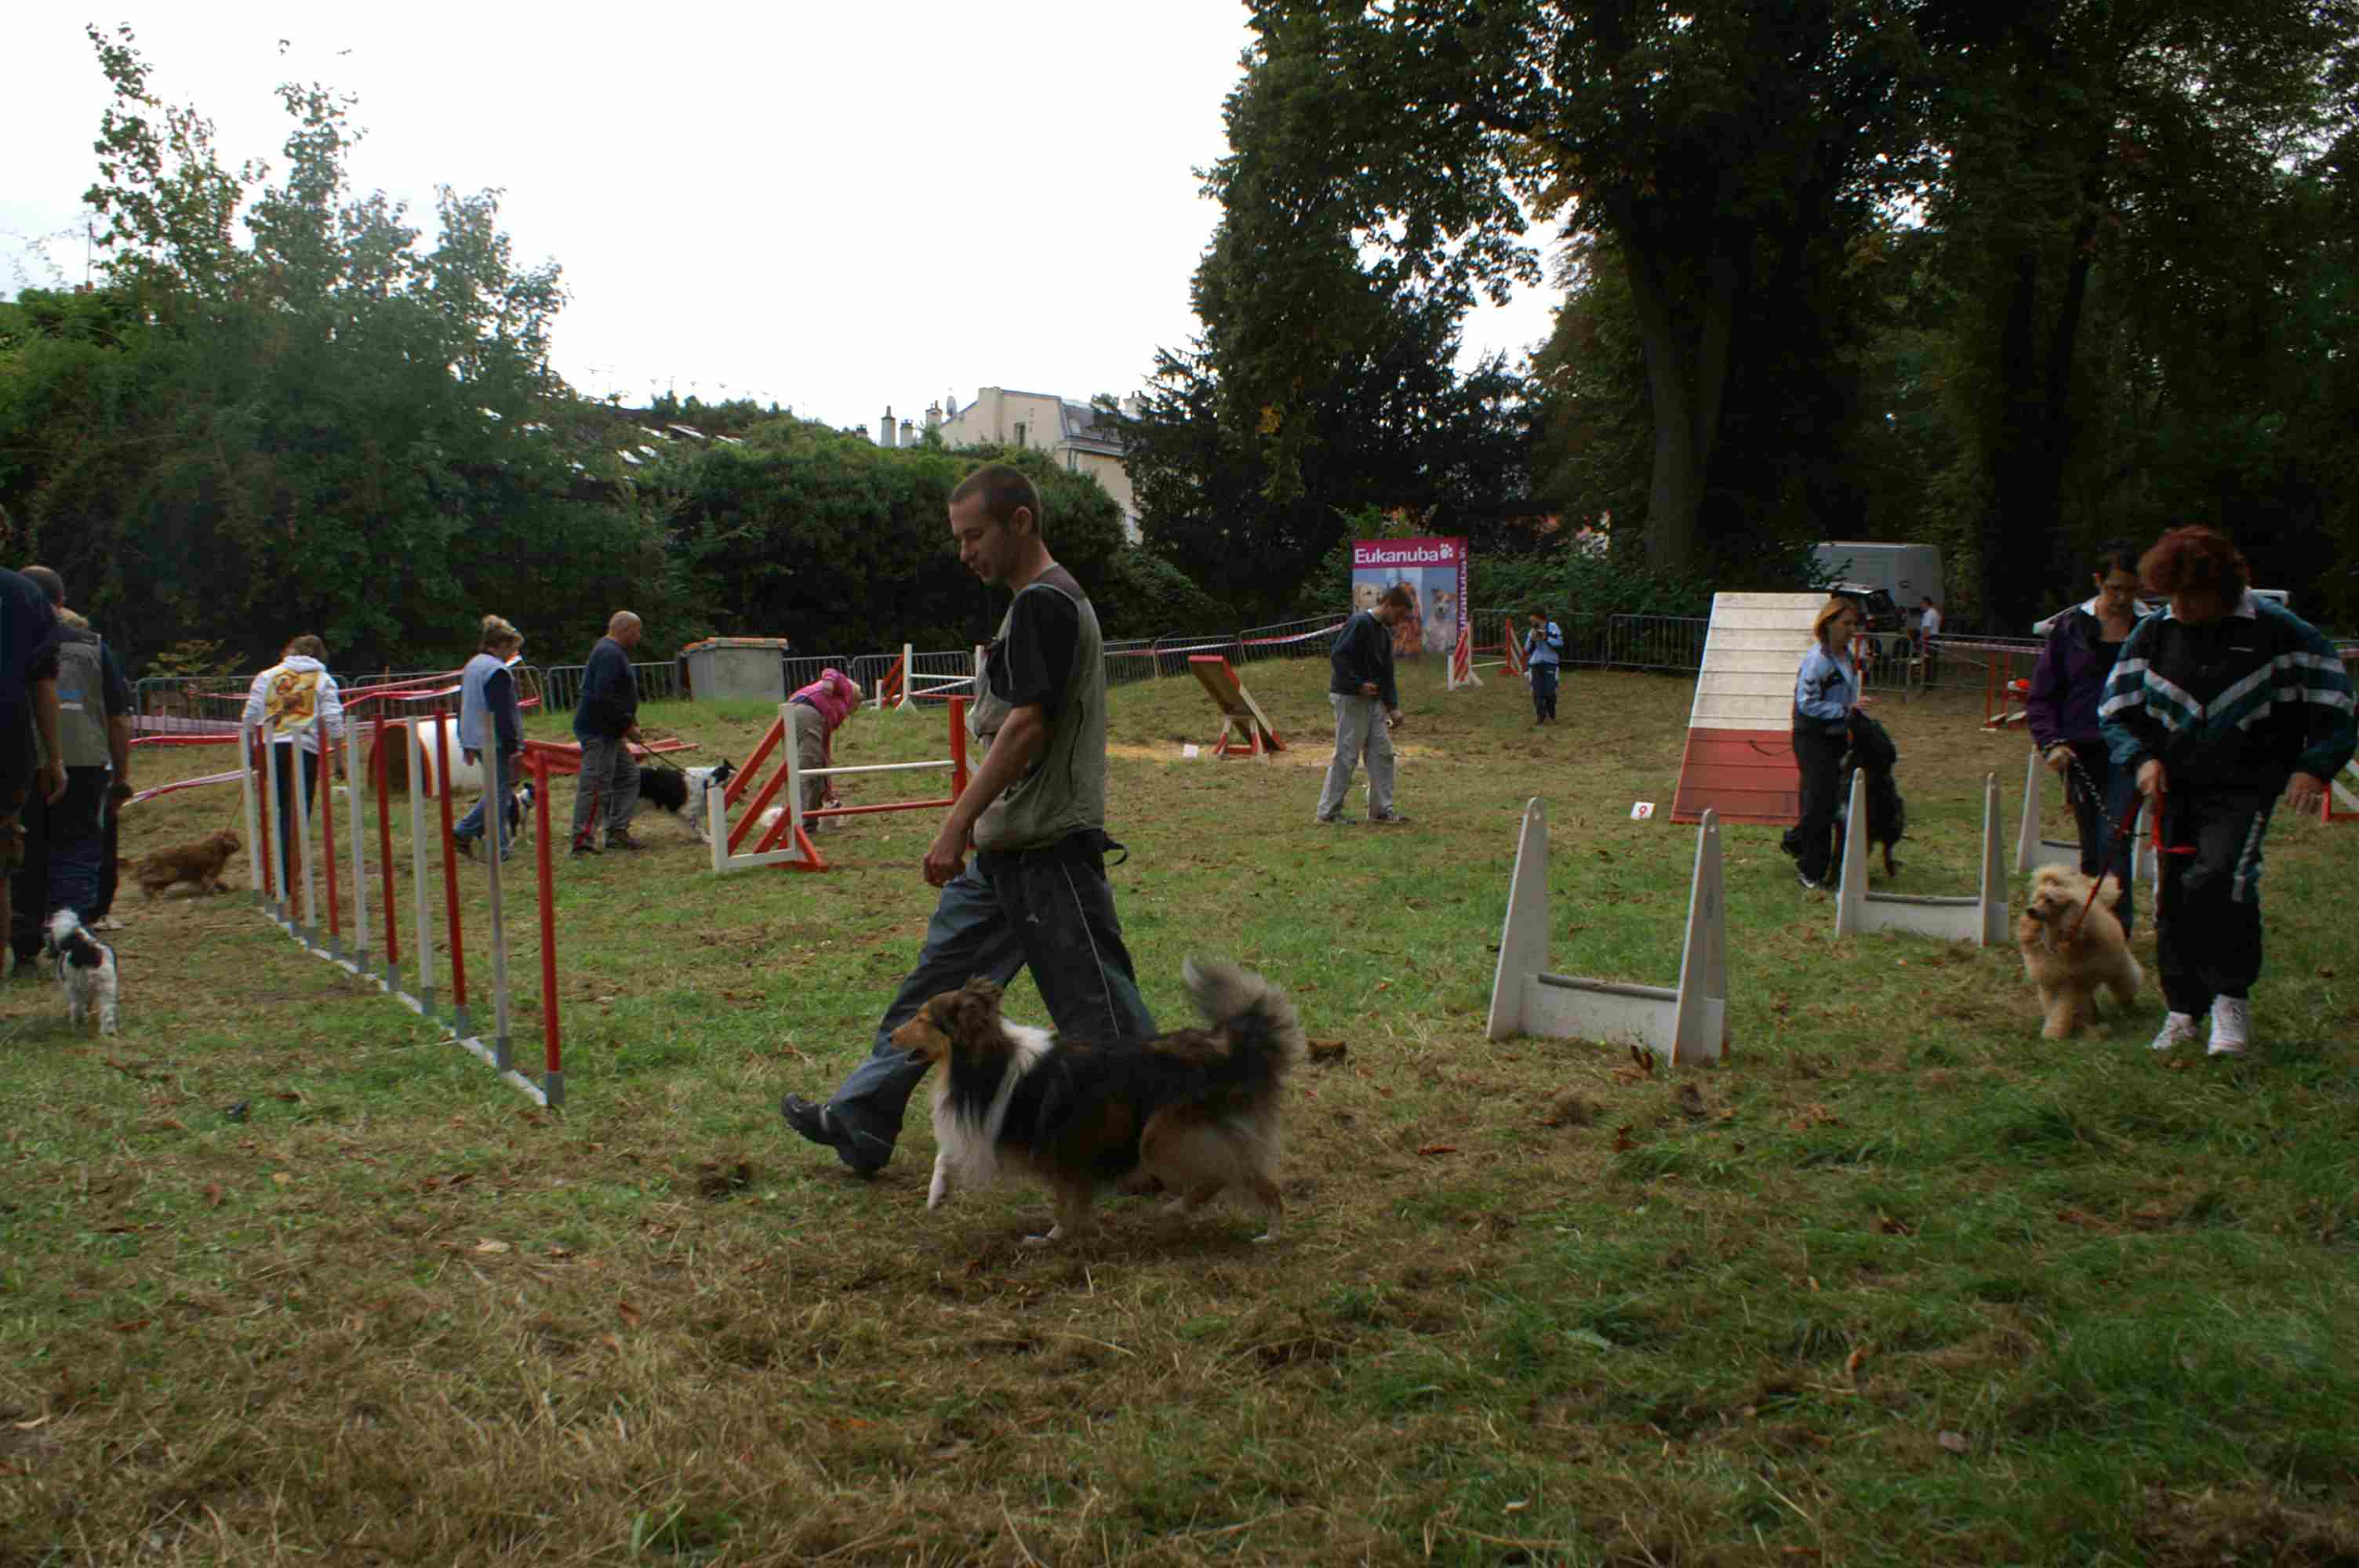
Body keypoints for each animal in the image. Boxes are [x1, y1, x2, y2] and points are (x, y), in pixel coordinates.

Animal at [48, 909, 119, 1037]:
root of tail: (89, 950)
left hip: (74, 987)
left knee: (76, 1006)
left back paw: (75, 1024)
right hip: (107, 987)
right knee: (107, 1012)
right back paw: (107, 1032)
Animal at [132, 828, 241, 899]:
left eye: (236, 838)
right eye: (233, 838)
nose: (240, 846)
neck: (218, 846)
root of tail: (150, 855)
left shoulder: (207, 875)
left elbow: (220, 883)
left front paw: (229, 889)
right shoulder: (209, 874)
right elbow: (211, 884)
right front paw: (216, 894)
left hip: (167, 878)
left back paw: (153, 895)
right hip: (170, 874)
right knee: (144, 879)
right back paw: (149, 893)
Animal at [899, 957, 1306, 1246]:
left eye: (923, 1019)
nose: (890, 1036)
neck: (987, 1058)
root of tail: (1231, 1049)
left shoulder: (1054, 1148)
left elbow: (1065, 1200)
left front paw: (1049, 1239)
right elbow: (945, 1154)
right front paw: (937, 1195)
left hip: (1162, 1138)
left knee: (1230, 1176)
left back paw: (1260, 1231)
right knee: (1239, 1174)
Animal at [1834, 710, 1906, 877]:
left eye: (1871, 723)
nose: (1854, 709)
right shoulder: (1842, 821)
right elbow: (1836, 858)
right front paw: (1829, 880)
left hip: (1896, 818)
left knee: (1888, 847)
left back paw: (1890, 867)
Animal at [2018, 864, 2142, 1039]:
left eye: (2050, 900)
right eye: (2036, 900)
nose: (2030, 910)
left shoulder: (2070, 983)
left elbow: (2061, 1008)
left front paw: (2053, 1033)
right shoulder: (2049, 982)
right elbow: (2051, 1006)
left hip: (2117, 967)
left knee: (2126, 982)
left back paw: (2127, 1003)